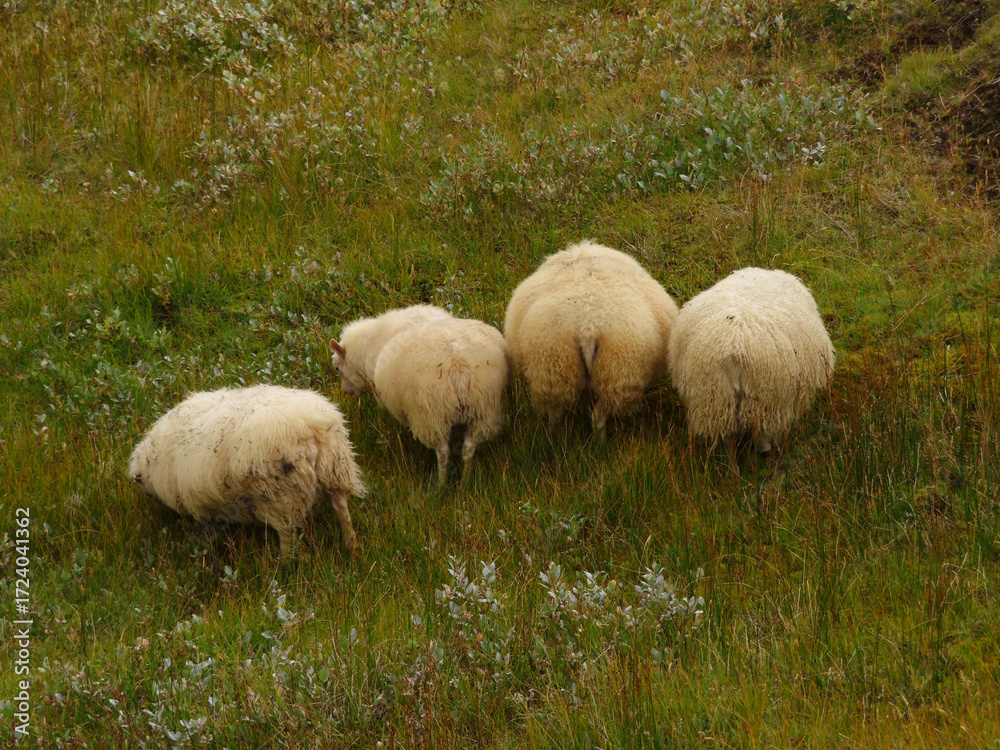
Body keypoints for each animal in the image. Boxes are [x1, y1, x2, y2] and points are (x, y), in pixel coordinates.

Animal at [128, 385, 366, 555]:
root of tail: (309, 426)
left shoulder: (196, 504)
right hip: (336, 468)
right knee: (341, 506)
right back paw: (351, 544)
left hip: (280, 493)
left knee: (286, 530)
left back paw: (285, 561)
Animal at [331, 307, 510, 485]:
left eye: (337, 368)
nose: (346, 391)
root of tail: (459, 366)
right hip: (483, 410)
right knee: (469, 447)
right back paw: (465, 481)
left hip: (431, 415)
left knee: (443, 451)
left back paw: (441, 483)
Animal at [503, 240, 679, 435]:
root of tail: (588, 326)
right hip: (613, 372)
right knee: (596, 417)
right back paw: (599, 442)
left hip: (555, 367)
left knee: (556, 412)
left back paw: (554, 438)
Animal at [667, 267, 835, 459]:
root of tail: (734, 348)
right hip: (765, 400)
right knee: (762, 436)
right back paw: (765, 455)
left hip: (715, 396)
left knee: (729, 437)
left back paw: (733, 465)